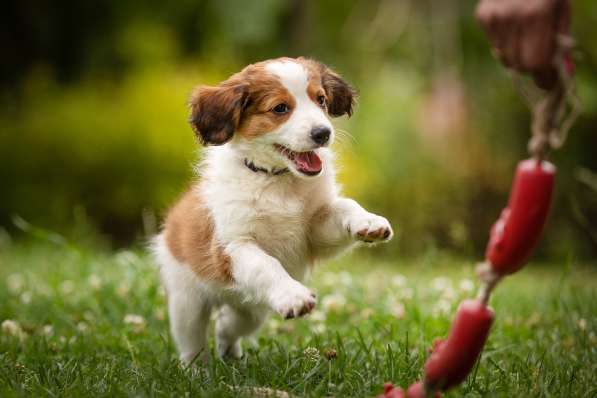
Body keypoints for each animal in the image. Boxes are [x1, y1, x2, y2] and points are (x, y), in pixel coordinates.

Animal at [154, 56, 394, 364]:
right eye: (280, 108)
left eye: (321, 100)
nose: (323, 133)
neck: (276, 180)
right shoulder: (234, 246)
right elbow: (266, 264)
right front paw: (293, 295)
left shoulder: (314, 231)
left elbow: (343, 206)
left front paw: (368, 221)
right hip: (187, 301)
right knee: (192, 342)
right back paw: (196, 369)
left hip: (251, 309)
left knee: (229, 325)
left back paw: (230, 351)